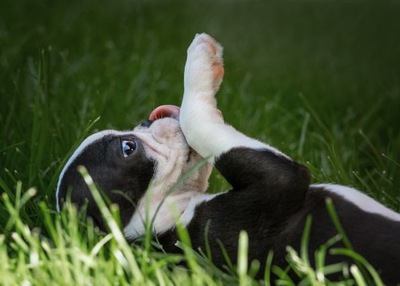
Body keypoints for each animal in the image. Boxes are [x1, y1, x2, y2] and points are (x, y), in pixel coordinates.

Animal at [55, 34, 400, 284]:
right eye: (128, 148)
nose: (147, 119)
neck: (160, 223)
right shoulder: (268, 195)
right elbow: (198, 121)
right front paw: (200, 60)